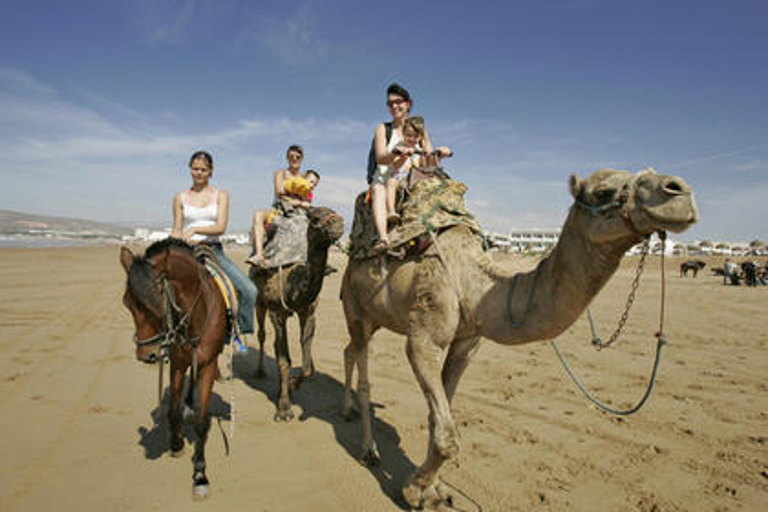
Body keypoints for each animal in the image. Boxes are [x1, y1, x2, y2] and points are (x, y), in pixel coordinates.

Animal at [120, 238, 228, 498]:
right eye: (126, 303)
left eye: (156, 302)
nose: (146, 355)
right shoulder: (178, 362)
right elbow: (172, 410)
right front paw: (176, 444)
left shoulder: (208, 365)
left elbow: (201, 421)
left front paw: (200, 474)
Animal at [249, 206, 342, 422]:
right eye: (315, 219)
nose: (339, 224)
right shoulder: (277, 312)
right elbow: (284, 361)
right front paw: (284, 409)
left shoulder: (308, 312)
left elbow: (308, 366)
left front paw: (291, 385)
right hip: (261, 301)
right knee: (262, 334)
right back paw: (260, 371)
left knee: (275, 344)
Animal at [340, 168, 700, 508]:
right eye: (604, 192)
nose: (679, 190)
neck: (475, 286)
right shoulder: (423, 340)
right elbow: (448, 436)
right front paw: (414, 492)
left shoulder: (468, 343)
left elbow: (439, 417)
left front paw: (435, 489)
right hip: (356, 309)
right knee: (363, 367)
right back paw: (368, 449)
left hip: (377, 318)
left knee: (348, 351)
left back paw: (350, 411)